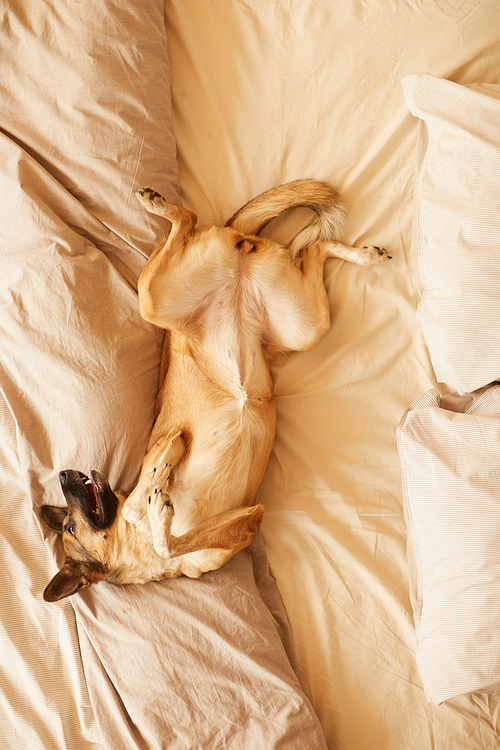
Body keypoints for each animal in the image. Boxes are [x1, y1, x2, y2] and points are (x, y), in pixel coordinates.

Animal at [40, 179, 390, 604]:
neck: (139, 552)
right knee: (313, 248)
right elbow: (162, 531)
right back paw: (365, 255)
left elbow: (142, 500)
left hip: (156, 300)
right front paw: (160, 502)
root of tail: (237, 242)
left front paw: (161, 475)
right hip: (306, 326)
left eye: (70, 527)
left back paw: (159, 205)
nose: (64, 474)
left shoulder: (239, 516)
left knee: (192, 221)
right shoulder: (247, 521)